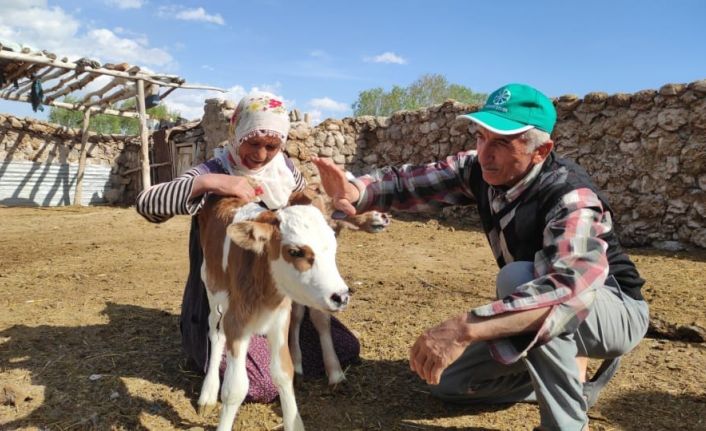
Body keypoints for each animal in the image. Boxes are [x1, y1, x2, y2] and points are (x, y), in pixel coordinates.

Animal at [197, 196, 350, 431]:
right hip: (211, 284)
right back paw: (208, 392)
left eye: (333, 246)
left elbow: (283, 372)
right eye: (295, 252)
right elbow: (235, 388)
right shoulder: (237, 321)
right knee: (215, 331)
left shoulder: (280, 318)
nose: (341, 296)